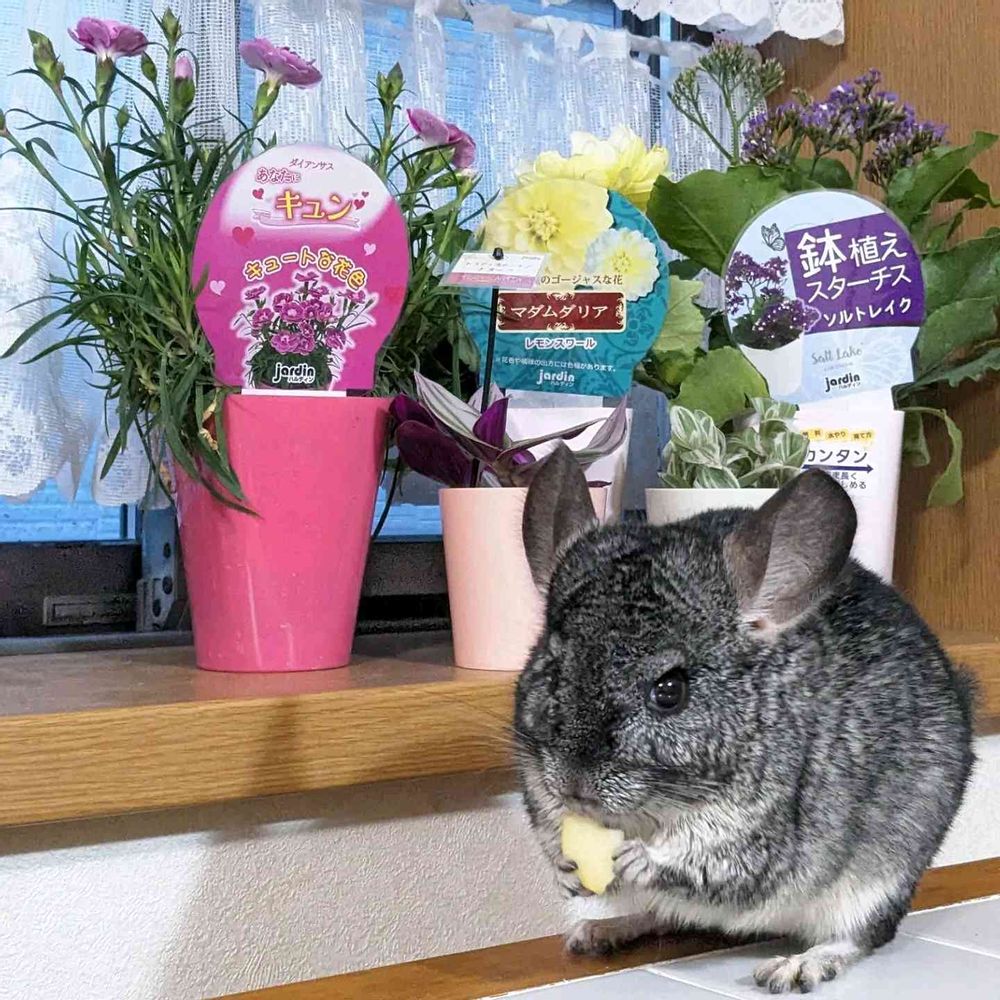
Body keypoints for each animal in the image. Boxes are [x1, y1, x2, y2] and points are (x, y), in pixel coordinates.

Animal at [514, 445, 975, 994]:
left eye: (670, 691)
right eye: (554, 665)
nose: (575, 785)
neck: (652, 813)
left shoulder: (764, 832)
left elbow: (714, 867)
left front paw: (638, 858)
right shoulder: (538, 791)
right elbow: (552, 835)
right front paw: (566, 870)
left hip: (881, 880)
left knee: (863, 935)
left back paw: (798, 965)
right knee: (667, 917)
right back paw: (604, 929)